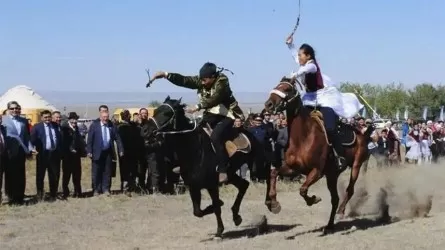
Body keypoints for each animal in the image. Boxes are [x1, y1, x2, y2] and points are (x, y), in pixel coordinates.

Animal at [144, 95, 266, 238]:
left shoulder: (212, 185)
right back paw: (236, 216)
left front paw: (219, 230)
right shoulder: (193, 186)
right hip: (230, 174)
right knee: (244, 185)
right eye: (156, 111)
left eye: (167, 113)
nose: (144, 130)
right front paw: (217, 211)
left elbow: (216, 207)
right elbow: (198, 212)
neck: (195, 150)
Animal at [262, 76, 372, 234]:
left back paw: (341, 211)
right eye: (277, 85)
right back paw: (330, 225)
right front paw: (274, 204)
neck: (303, 137)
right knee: (335, 199)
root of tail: (363, 133)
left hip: (356, 165)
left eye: (287, 89)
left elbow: (302, 190)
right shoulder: (293, 169)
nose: (268, 104)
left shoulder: (317, 171)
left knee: (349, 190)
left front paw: (313, 199)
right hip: (332, 175)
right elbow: (273, 173)